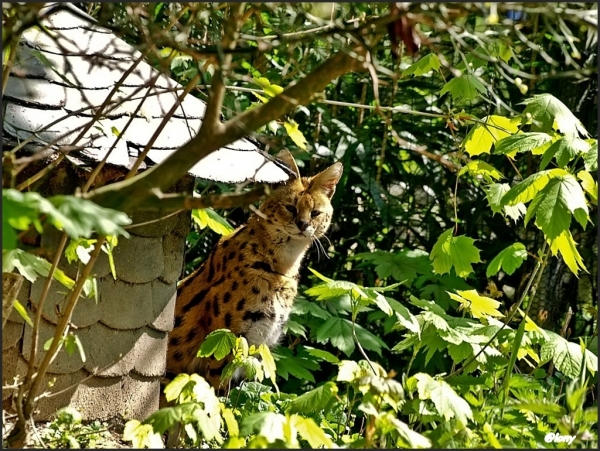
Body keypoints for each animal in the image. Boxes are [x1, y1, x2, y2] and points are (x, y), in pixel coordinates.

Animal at [166, 151, 342, 388]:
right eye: (290, 207)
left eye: (315, 213)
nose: (303, 224)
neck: (283, 267)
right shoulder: (226, 344)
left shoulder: (256, 347)